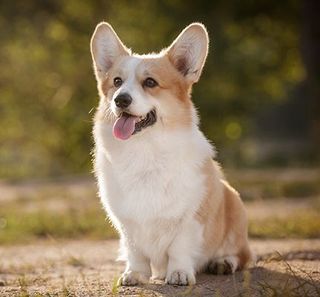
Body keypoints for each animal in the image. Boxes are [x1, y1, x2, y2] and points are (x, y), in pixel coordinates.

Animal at [90, 22, 252, 286]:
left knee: (243, 255)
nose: (120, 99)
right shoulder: (127, 223)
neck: (144, 150)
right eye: (116, 81)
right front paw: (134, 274)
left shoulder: (191, 217)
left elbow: (179, 248)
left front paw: (179, 274)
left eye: (150, 82)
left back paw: (223, 263)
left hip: (234, 203)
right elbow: (135, 251)